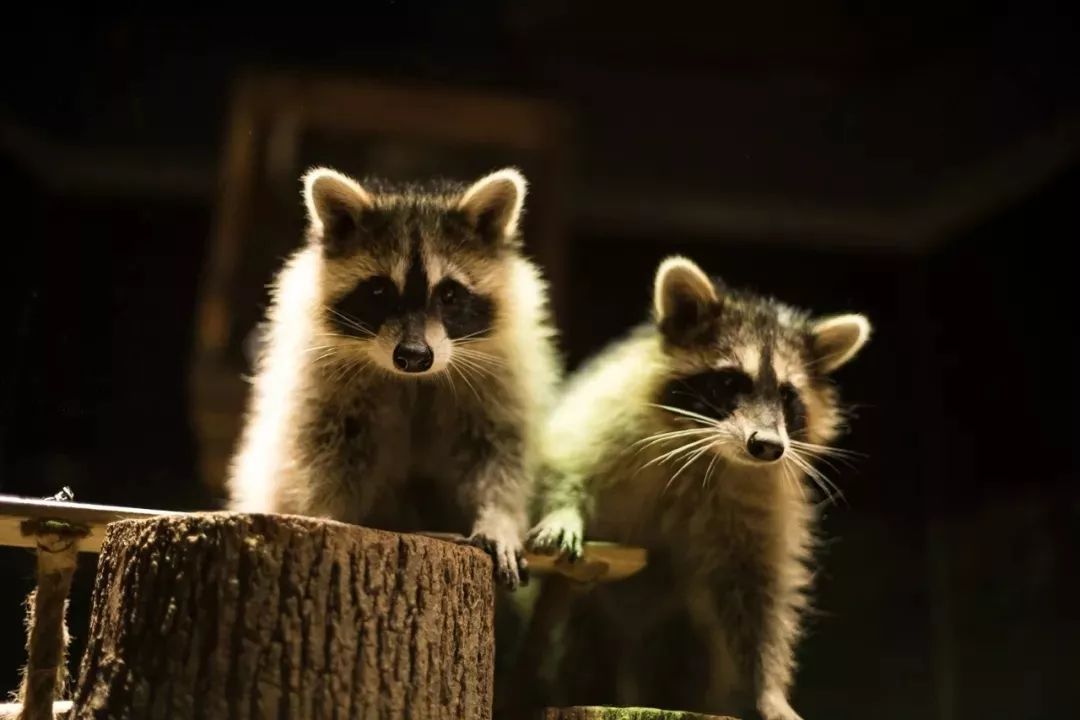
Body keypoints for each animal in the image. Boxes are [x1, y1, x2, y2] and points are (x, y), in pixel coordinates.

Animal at [231, 166, 561, 587]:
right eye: (378, 291)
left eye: (449, 295)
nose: (414, 357)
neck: (414, 381)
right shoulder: (321, 383)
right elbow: (322, 454)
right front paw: (328, 513)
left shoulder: (502, 377)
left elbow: (501, 456)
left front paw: (498, 518)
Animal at [527, 255, 872, 720]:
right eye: (729, 383)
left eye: (787, 396)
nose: (767, 446)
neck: (710, 451)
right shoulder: (607, 415)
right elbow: (564, 461)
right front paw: (563, 511)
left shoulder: (761, 499)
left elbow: (761, 597)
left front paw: (767, 690)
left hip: (682, 635)